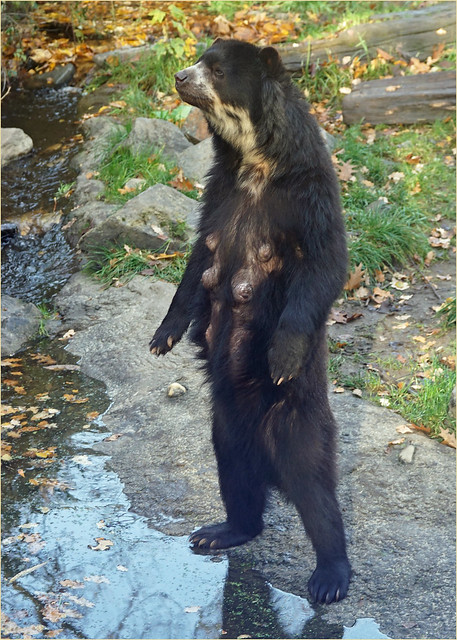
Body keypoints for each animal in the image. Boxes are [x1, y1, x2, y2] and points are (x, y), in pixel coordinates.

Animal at [151, 38, 350, 604]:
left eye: (217, 70)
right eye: (199, 59)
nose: (179, 76)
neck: (255, 160)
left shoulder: (308, 194)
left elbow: (324, 265)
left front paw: (282, 355)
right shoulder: (218, 193)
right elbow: (199, 260)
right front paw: (162, 336)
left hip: (296, 419)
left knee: (315, 492)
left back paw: (330, 576)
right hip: (223, 428)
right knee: (236, 478)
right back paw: (221, 530)